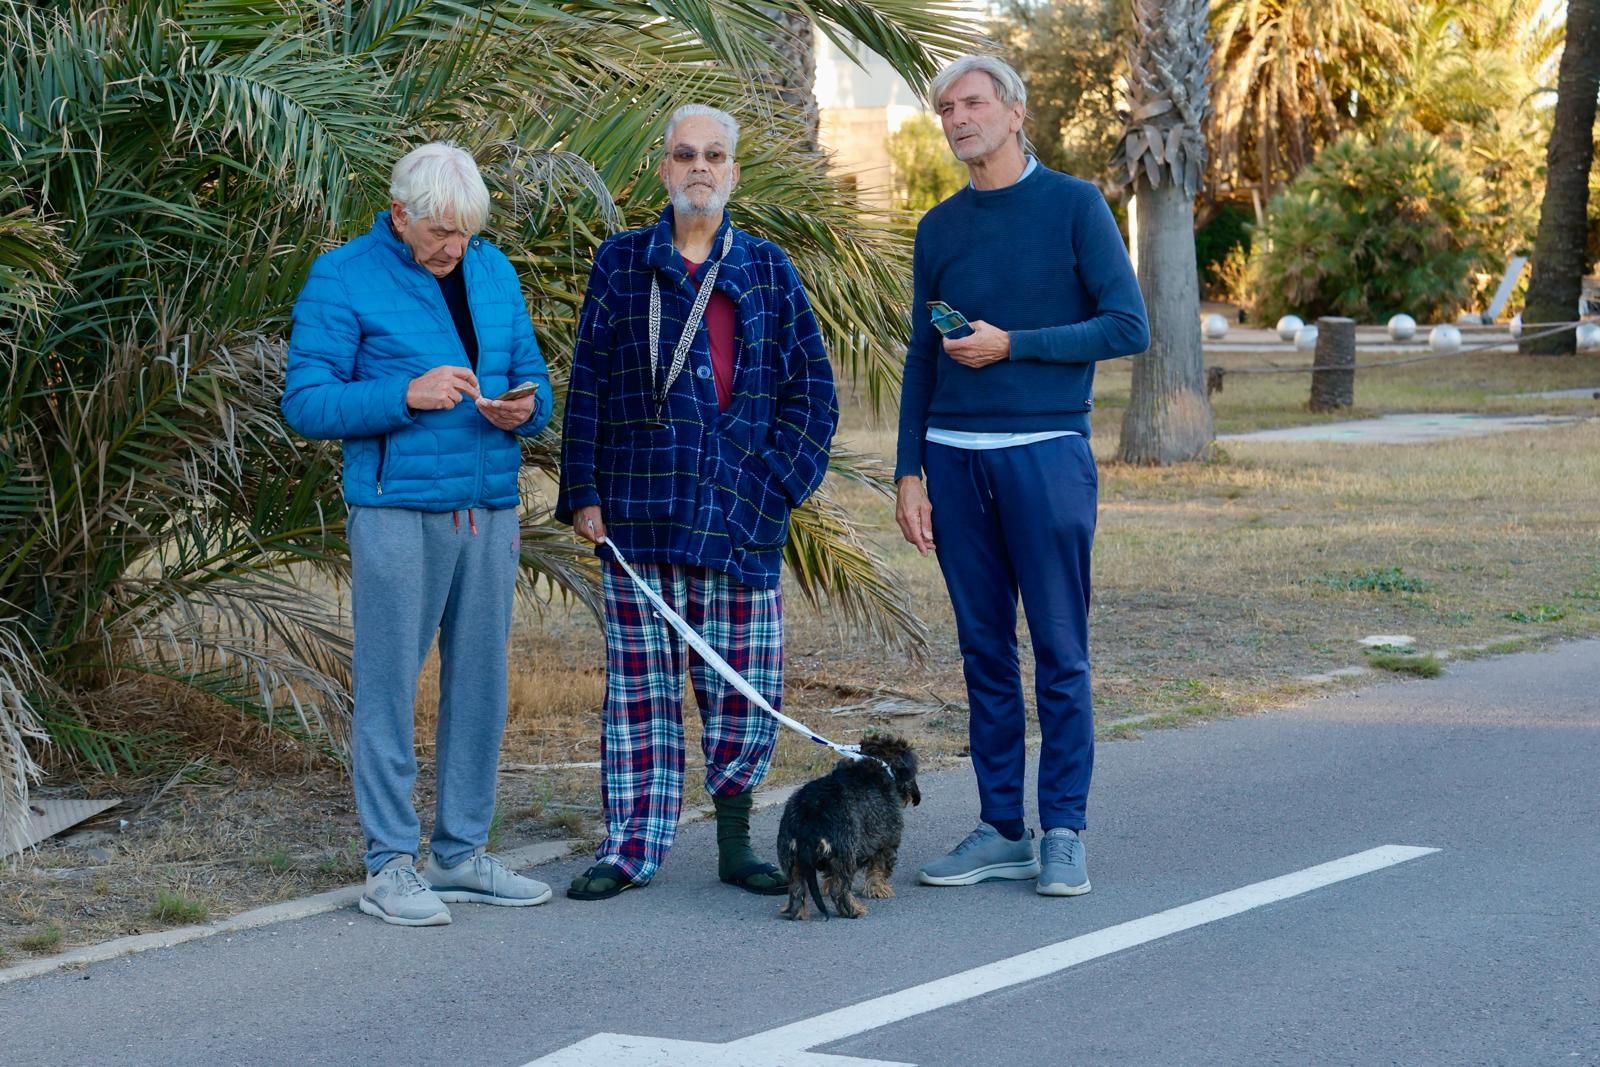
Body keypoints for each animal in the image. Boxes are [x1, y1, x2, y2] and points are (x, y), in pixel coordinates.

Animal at [771, 735, 915, 921]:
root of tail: (809, 818)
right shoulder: (886, 841)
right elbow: (878, 868)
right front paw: (877, 889)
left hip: (792, 859)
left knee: (797, 890)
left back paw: (798, 913)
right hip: (844, 854)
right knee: (839, 890)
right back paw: (854, 910)